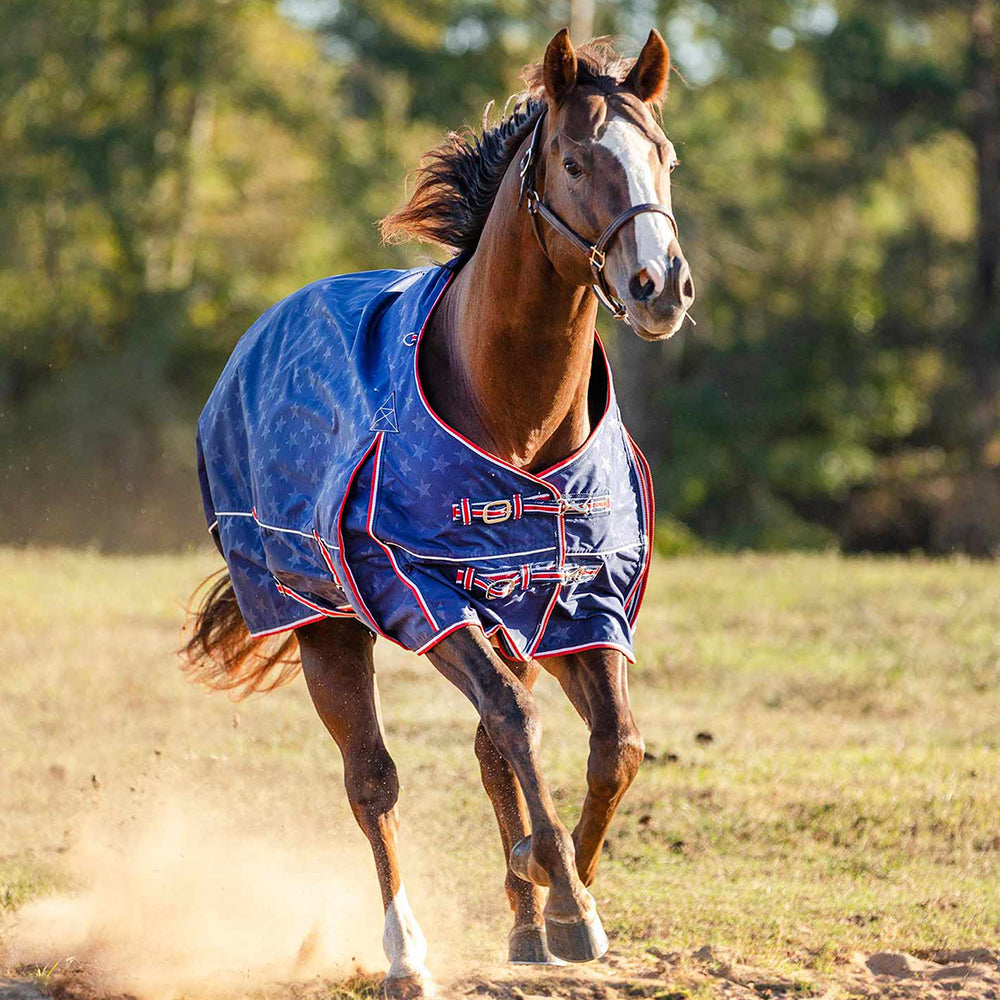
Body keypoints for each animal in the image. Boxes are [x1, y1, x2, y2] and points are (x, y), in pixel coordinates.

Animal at [182, 29, 696, 1000]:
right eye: (576, 159)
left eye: (666, 156)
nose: (661, 285)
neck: (512, 418)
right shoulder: (423, 596)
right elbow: (516, 723)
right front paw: (566, 900)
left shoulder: (577, 601)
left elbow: (615, 745)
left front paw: (559, 885)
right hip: (325, 624)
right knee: (374, 782)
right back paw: (407, 955)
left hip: (507, 622)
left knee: (492, 748)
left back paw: (523, 913)